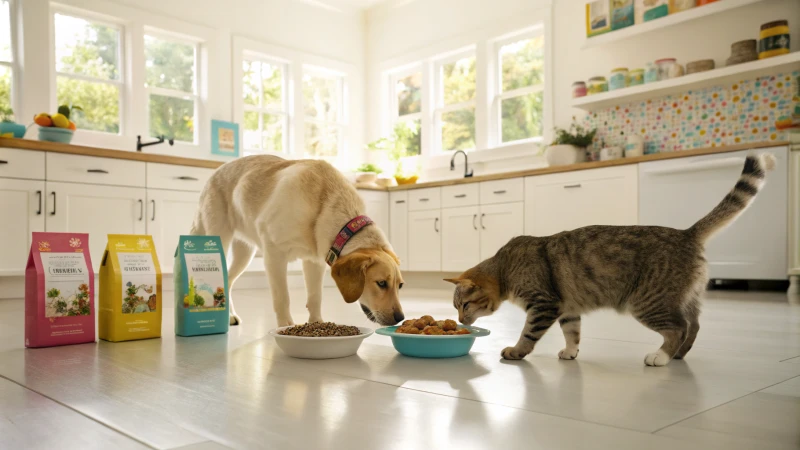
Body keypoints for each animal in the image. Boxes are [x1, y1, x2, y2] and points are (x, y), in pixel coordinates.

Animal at [194, 155, 406, 326]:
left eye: (400, 285)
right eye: (381, 283)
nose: (401, 318)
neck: (326, 202)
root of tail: (215, 172)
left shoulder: (315, 261)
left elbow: (315, 297)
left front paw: (317, 323)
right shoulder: (274, 254)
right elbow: (282, 297)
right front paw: (285, 326)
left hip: (244, 254)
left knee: (228, 280)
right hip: (220, 240)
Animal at [446, 153, 772, 368]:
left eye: (464, 305)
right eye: (456, 307)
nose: (460, 320)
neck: (506, 266)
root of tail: (686, 233)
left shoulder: (543, 304)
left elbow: (528, 334)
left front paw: (516, 351)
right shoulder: (567, 308)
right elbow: (573, 333)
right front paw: (570, 352)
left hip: (647, 301)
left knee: (678, 327)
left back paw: (661, 356)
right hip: (683, 298)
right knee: (693, 325)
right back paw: (678, 354)